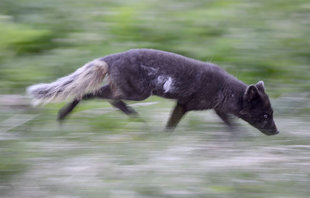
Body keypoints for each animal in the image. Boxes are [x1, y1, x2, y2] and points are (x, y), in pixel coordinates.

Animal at [26, 48, 278, 135]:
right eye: (265, 114)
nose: (276, 132)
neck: (224, 89)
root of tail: (111, 58)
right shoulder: (184, 104)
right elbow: (172, 123)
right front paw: (164, 136)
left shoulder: (217, 108)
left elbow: (230, 123)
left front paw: (239, 136)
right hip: (136, 92)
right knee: (94, 94)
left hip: (127, 90)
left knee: (100, 95)